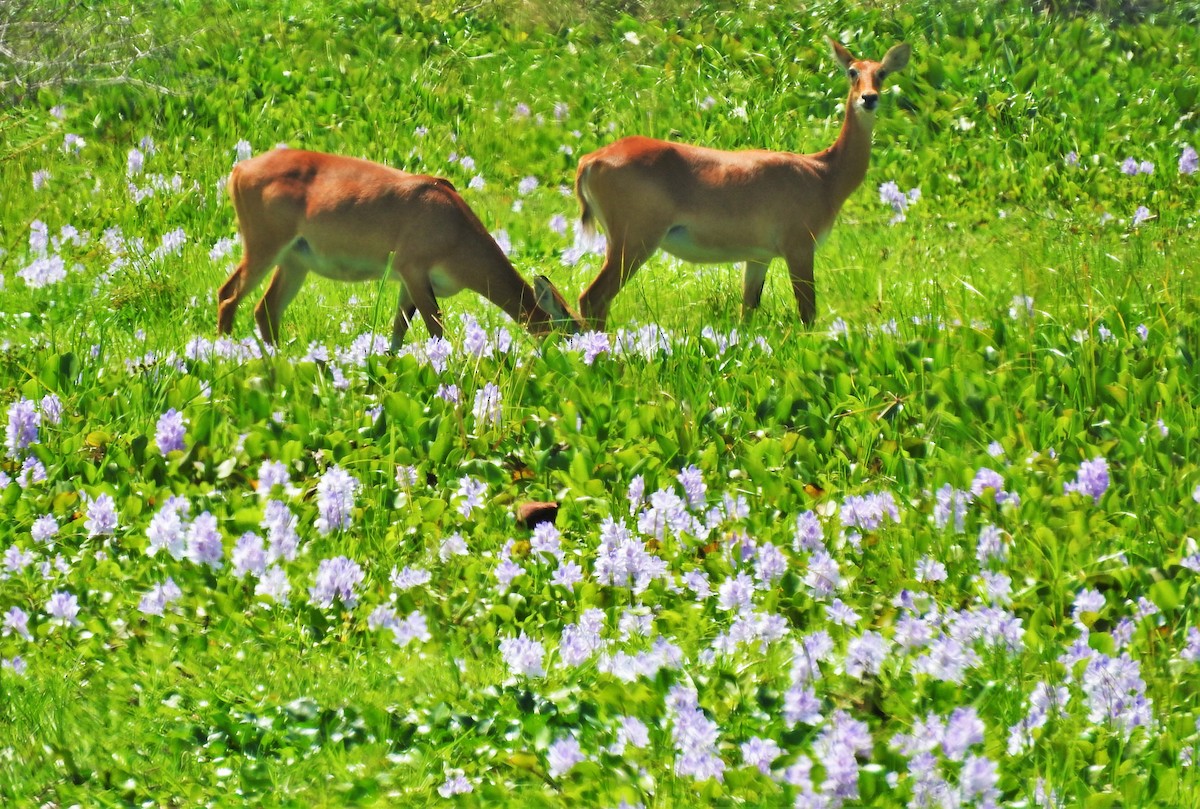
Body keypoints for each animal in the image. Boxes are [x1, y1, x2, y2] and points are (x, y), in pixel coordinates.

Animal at [220, 148, 585, 350]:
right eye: (572, 332)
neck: (452, 222)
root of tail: (240, 168)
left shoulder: (407, 285)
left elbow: (397, 334)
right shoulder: (415, 274)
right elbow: (437, 331)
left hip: (294, 263)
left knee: (265, 309)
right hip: (263, 249)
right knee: (228, 296)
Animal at [573, 39, 907, 328]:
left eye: (881, 72)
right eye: (853, 71)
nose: (869, 98)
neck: (824, 173)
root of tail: (591, 159)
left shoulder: (758, 257)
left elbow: (747, 311)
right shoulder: (799, 248)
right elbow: (808, 313)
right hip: (634, 242)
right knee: (592, 297)